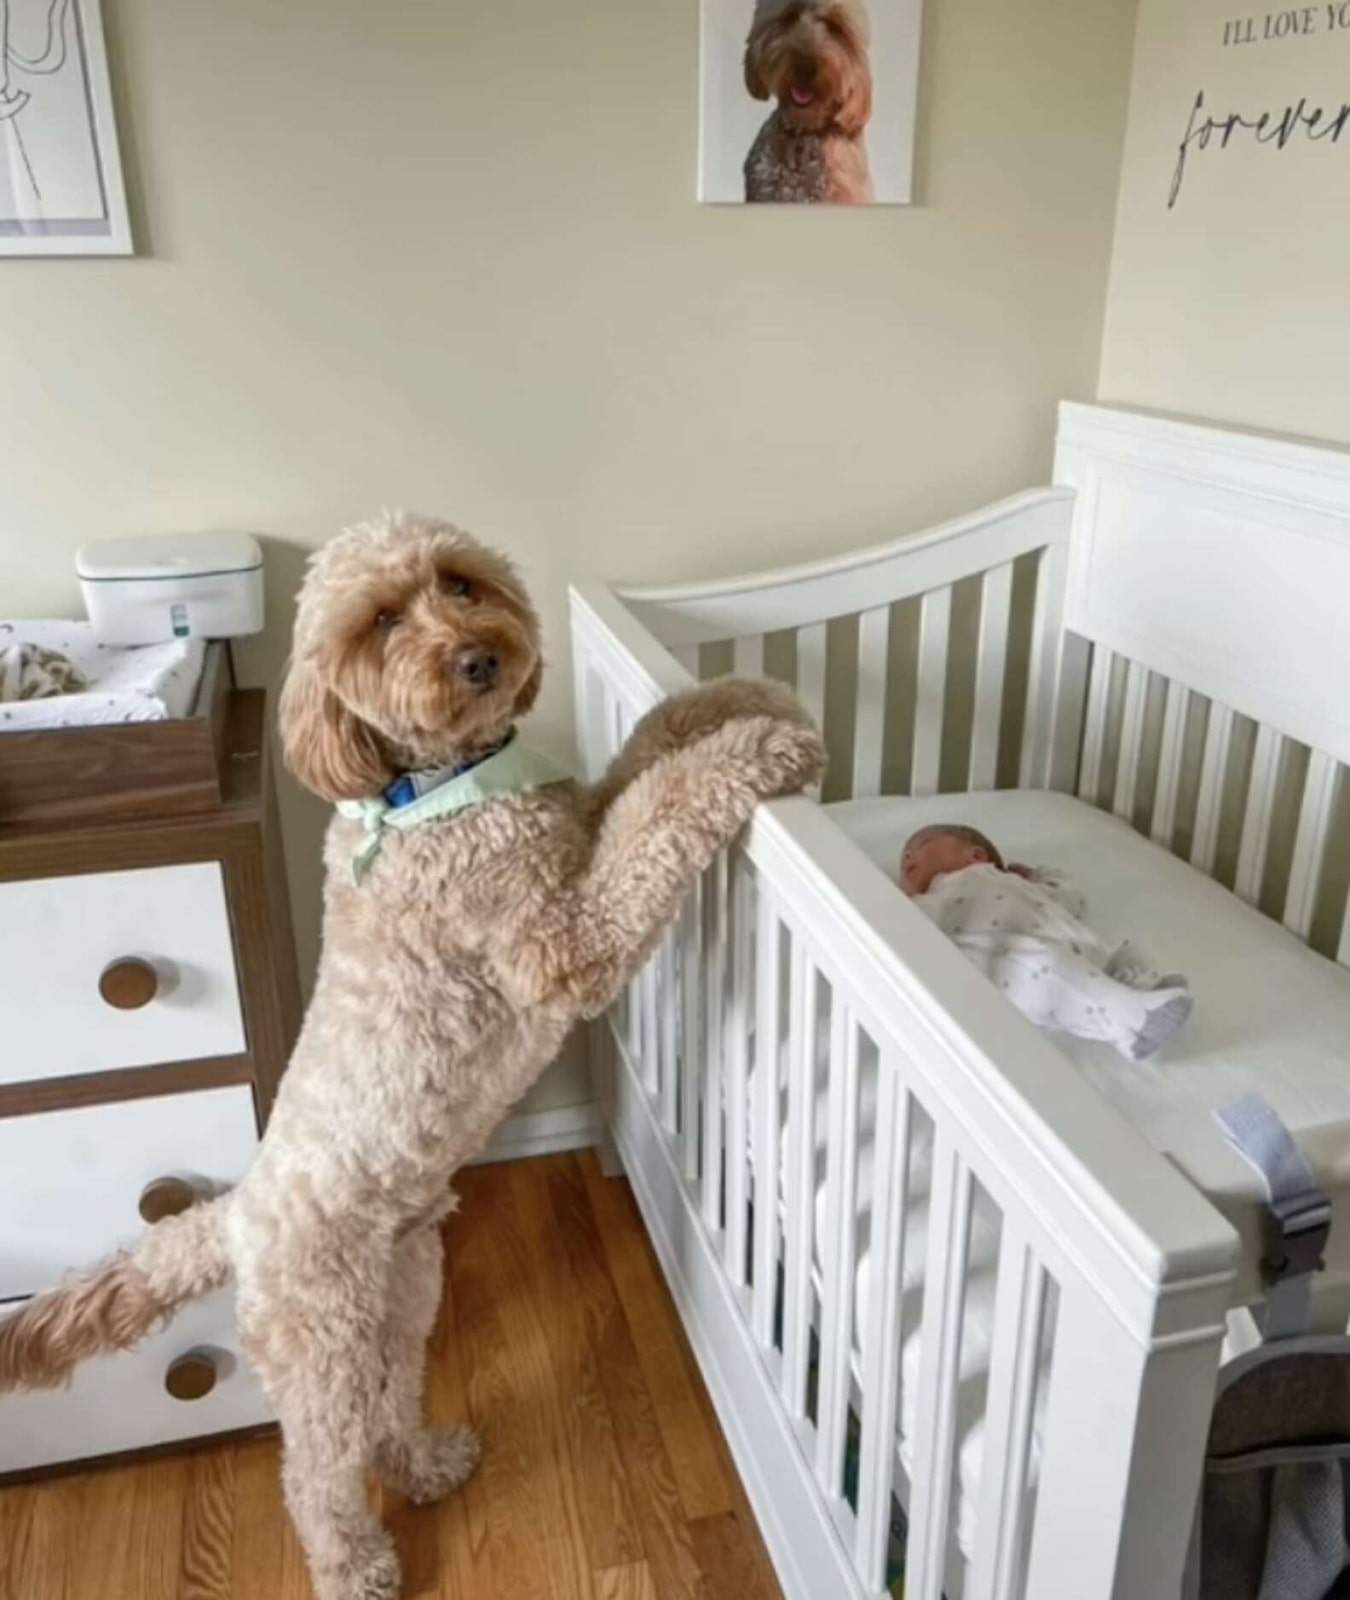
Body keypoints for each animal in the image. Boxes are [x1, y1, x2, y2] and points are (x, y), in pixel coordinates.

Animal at [0, 515, 825, 1600]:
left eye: (461, 583)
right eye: (380, 621)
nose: (478, 658)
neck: (429, 787)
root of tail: (236, 1216)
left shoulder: (569, 827)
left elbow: (640, 759)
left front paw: (731, 699)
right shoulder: (565, 943)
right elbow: (658, 809)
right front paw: (757, 745)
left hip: (404, 1295)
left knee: (388, 1412)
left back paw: (427, 1463)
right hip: (325, 1341)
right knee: (314, 1471)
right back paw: (353, 1564)